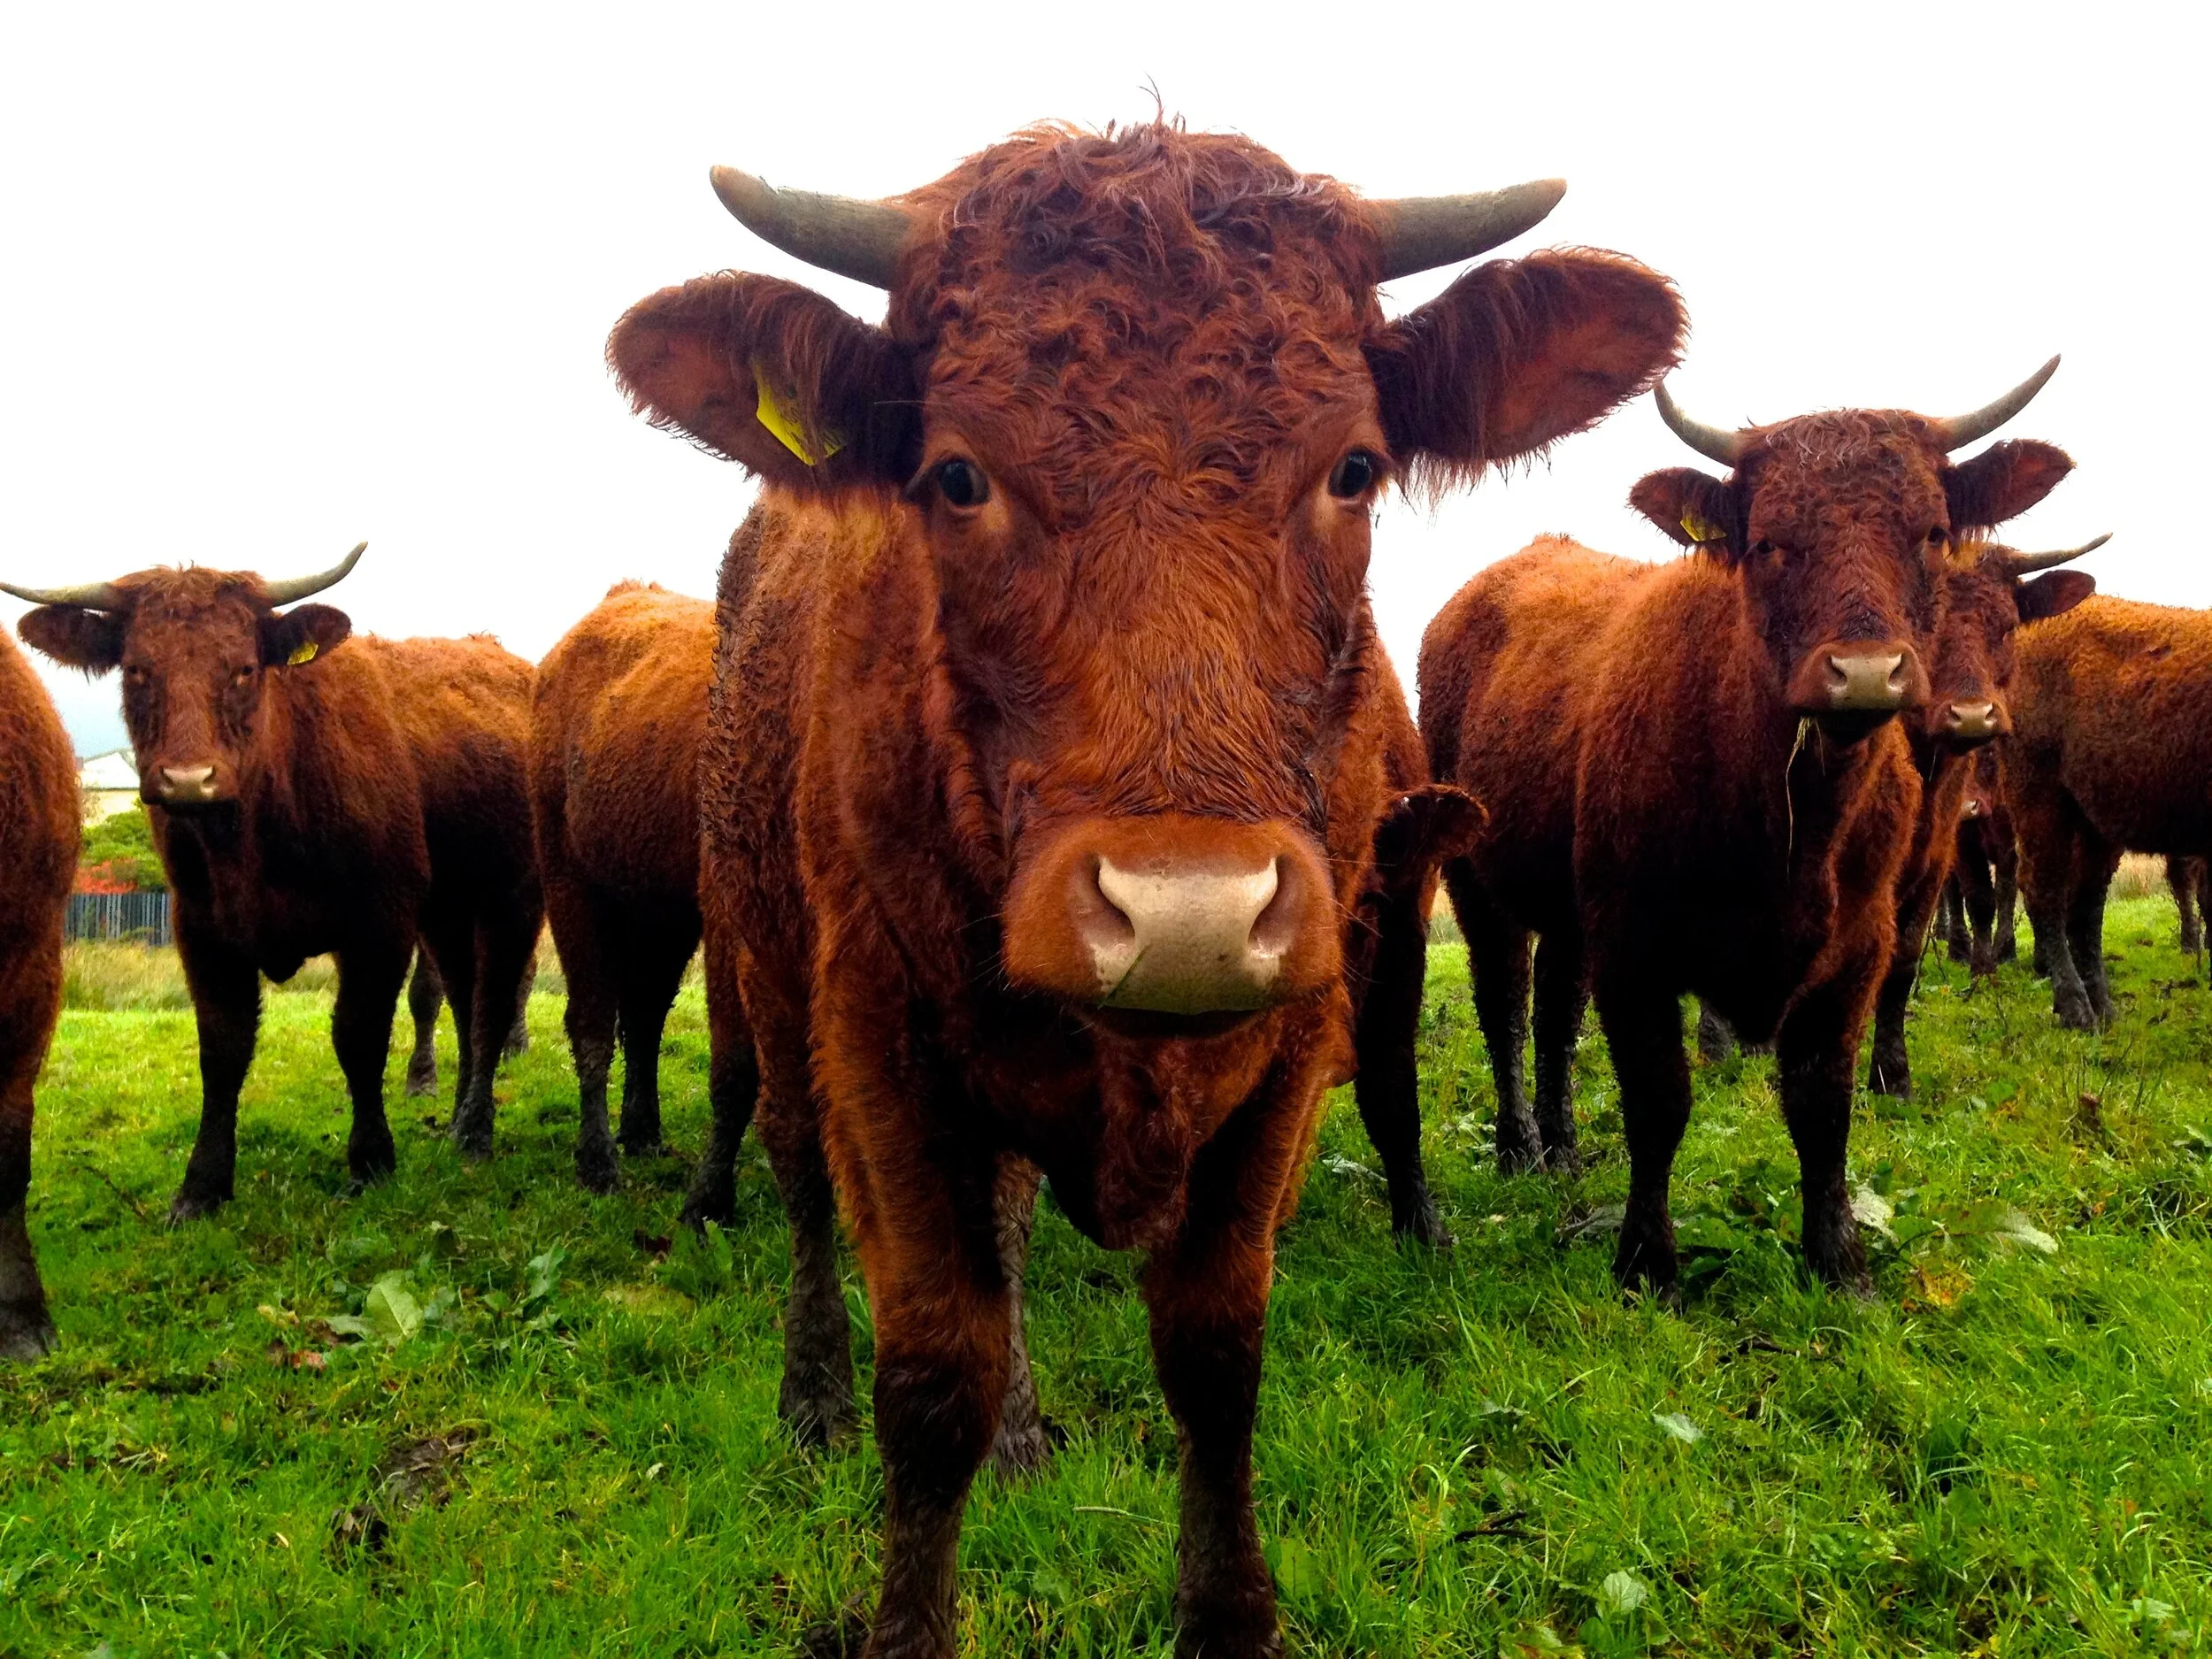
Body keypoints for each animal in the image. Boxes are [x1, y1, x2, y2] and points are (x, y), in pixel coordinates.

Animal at [529, 582, 712, 1191]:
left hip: (661, 909)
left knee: (644, 1014)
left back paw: (642, 1131)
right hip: (570, 882)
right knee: (593, 1017)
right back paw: (598, 1158)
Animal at [607, 121, 1685, 1658]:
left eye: (1355, 466)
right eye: (955, 475)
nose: (1186, 912)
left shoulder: (1288, 1045)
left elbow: (1217, 1349)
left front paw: (1222, 1609)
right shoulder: (877, 1030)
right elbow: (928, 1374)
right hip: (763, 957)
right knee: (804, 1178)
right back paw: (812, 1392)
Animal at [1421, 364, 2075, 1295]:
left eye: (1931, 533)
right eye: (1768, 541)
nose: (1864, 673)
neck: (1790, 820)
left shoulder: (1863, 940)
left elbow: (1822, 1101)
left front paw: (1839, 1260)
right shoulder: (1633, 943)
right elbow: (1659, 1098)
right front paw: (1647, 1260)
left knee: (1554, 1009)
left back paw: (1563, 1147)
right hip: (1477, 880)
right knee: (1506, 1003)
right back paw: (1518, 1146)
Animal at [2003, 595, 2212, 1027]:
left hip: (2097, 819)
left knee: (2086, 904)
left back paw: (2103, 1008)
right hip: (2039, 797)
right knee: (2044, 890)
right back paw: (2076, 1010)